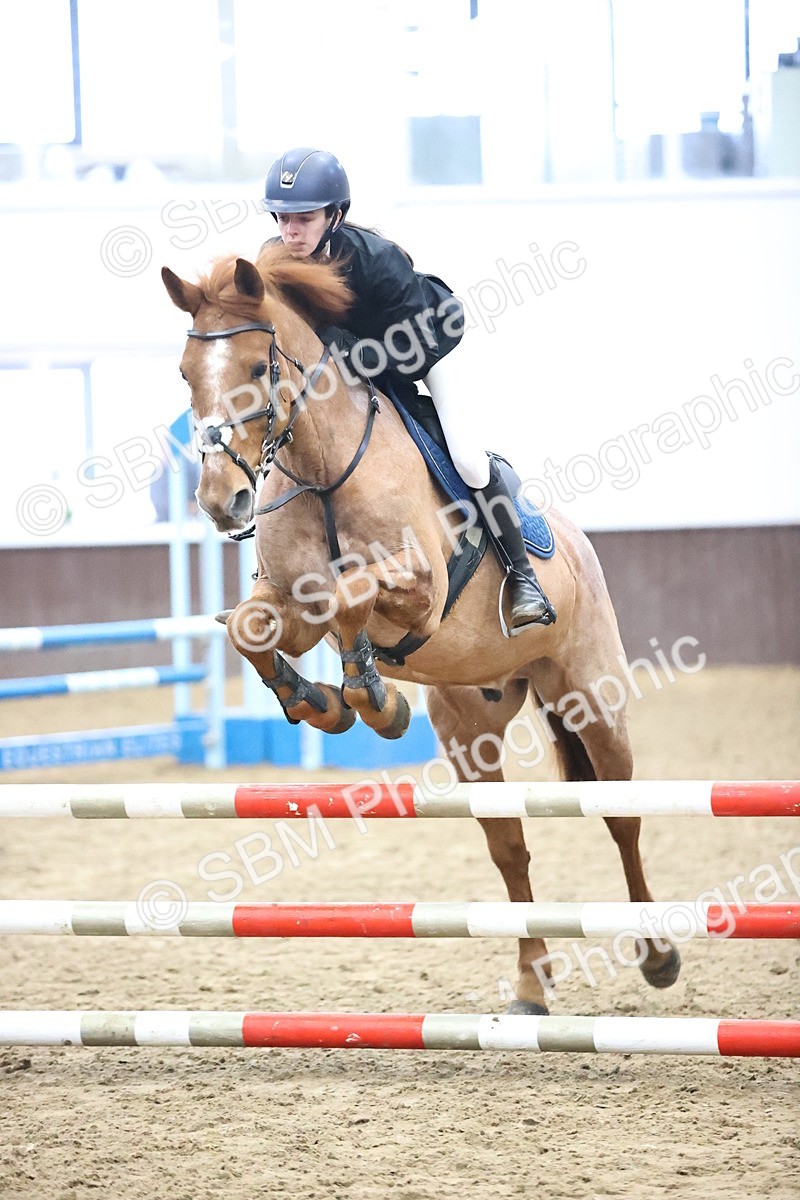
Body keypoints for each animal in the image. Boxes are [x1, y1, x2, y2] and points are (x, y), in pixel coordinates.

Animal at [161, 244, 681, 1014]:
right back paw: (531, 982)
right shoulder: (282, 598)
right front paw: (320, 701)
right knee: (509, 847)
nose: (222, 501)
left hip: (592, 698)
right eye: (185, 373)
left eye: (258, 367)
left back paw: (658, 955)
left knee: (622, 817)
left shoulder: (423, 590)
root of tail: (577, 544)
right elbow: (253, 628)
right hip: (471, 729)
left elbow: (345, 594)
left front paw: (370, 698)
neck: (320, 465)